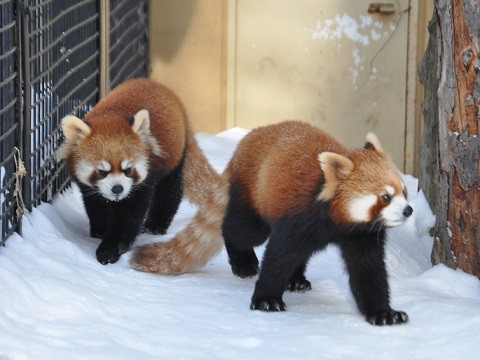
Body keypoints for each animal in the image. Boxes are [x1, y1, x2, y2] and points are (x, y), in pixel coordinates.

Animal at [57, 79, 223, 264]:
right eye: (102, 171)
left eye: (128, 169)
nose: (117, 189)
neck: (111, 115)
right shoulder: (88, 186)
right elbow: (95, 204)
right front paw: (99, 230)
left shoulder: (144, 180)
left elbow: (129, 216)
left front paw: (110, 249)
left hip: (175, 155)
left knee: (169, 191)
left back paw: (155, 226)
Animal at [132, 120, 412, 326]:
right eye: (385, 197)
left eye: (404, 191)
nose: (409, 210)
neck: (337, 221)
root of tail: (242, 145)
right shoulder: (298, 215)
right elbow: (279, 255)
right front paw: (266, 300)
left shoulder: (362, 233)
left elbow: (369, 271)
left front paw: (383, 313)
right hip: (252, 199)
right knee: (238, 230)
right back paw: (244, 262)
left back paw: (296, 279)